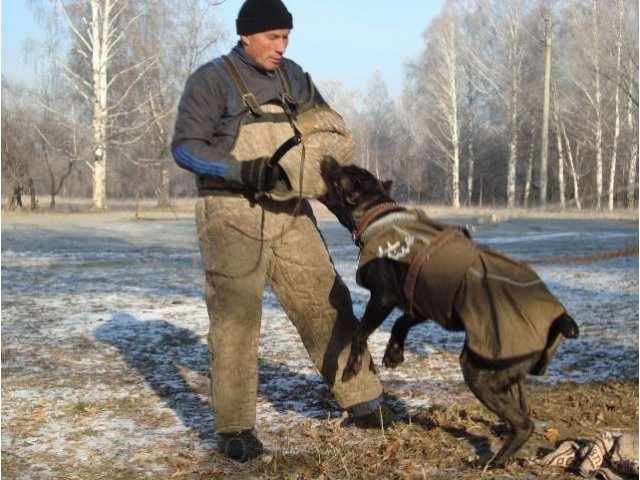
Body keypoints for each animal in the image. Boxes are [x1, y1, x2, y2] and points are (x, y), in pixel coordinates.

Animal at [320, 159, 580, 466]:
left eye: (340, 174)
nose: (327, 157)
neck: (376, 214)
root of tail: (559, 318)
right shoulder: (424, 302)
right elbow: (401, 322)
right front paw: (394, 353)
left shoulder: (383, 298)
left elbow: (361, 332)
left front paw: (351, 369)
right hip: (509, 372)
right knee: (522, 408)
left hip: (478, 371)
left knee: (522, 423)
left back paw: (492, 461)